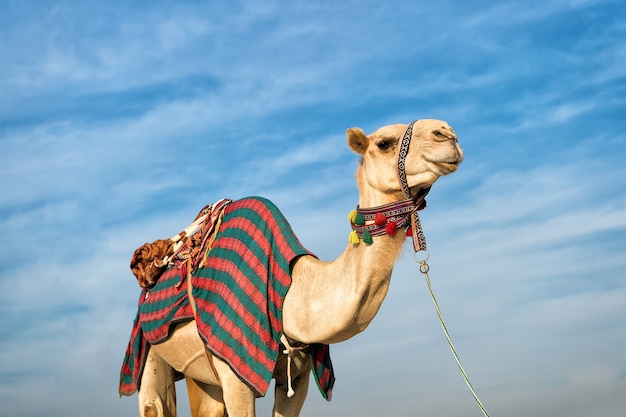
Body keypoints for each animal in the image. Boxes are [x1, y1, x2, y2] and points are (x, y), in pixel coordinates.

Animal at [134, 118, 460, 414]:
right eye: (383, 143)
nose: (448, 133)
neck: (292, 292)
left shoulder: (300, 376)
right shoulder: (234, 371)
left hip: (200, 375)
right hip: (148, 351)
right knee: (154, 402)